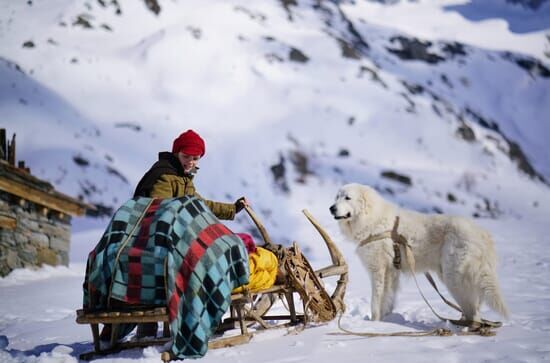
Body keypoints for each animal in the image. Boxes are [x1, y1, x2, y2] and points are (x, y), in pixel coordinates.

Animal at [330, 183, 512, 322]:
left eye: (347, 198)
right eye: (337, 197)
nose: (331, 208)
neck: (371, 219)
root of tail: (482, 235)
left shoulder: (378, 270)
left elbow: (376, 301)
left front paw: (374, 323)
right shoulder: (391, 272)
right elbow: (388, 299)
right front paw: (385, 320)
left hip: (454, 278)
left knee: (473, 312)